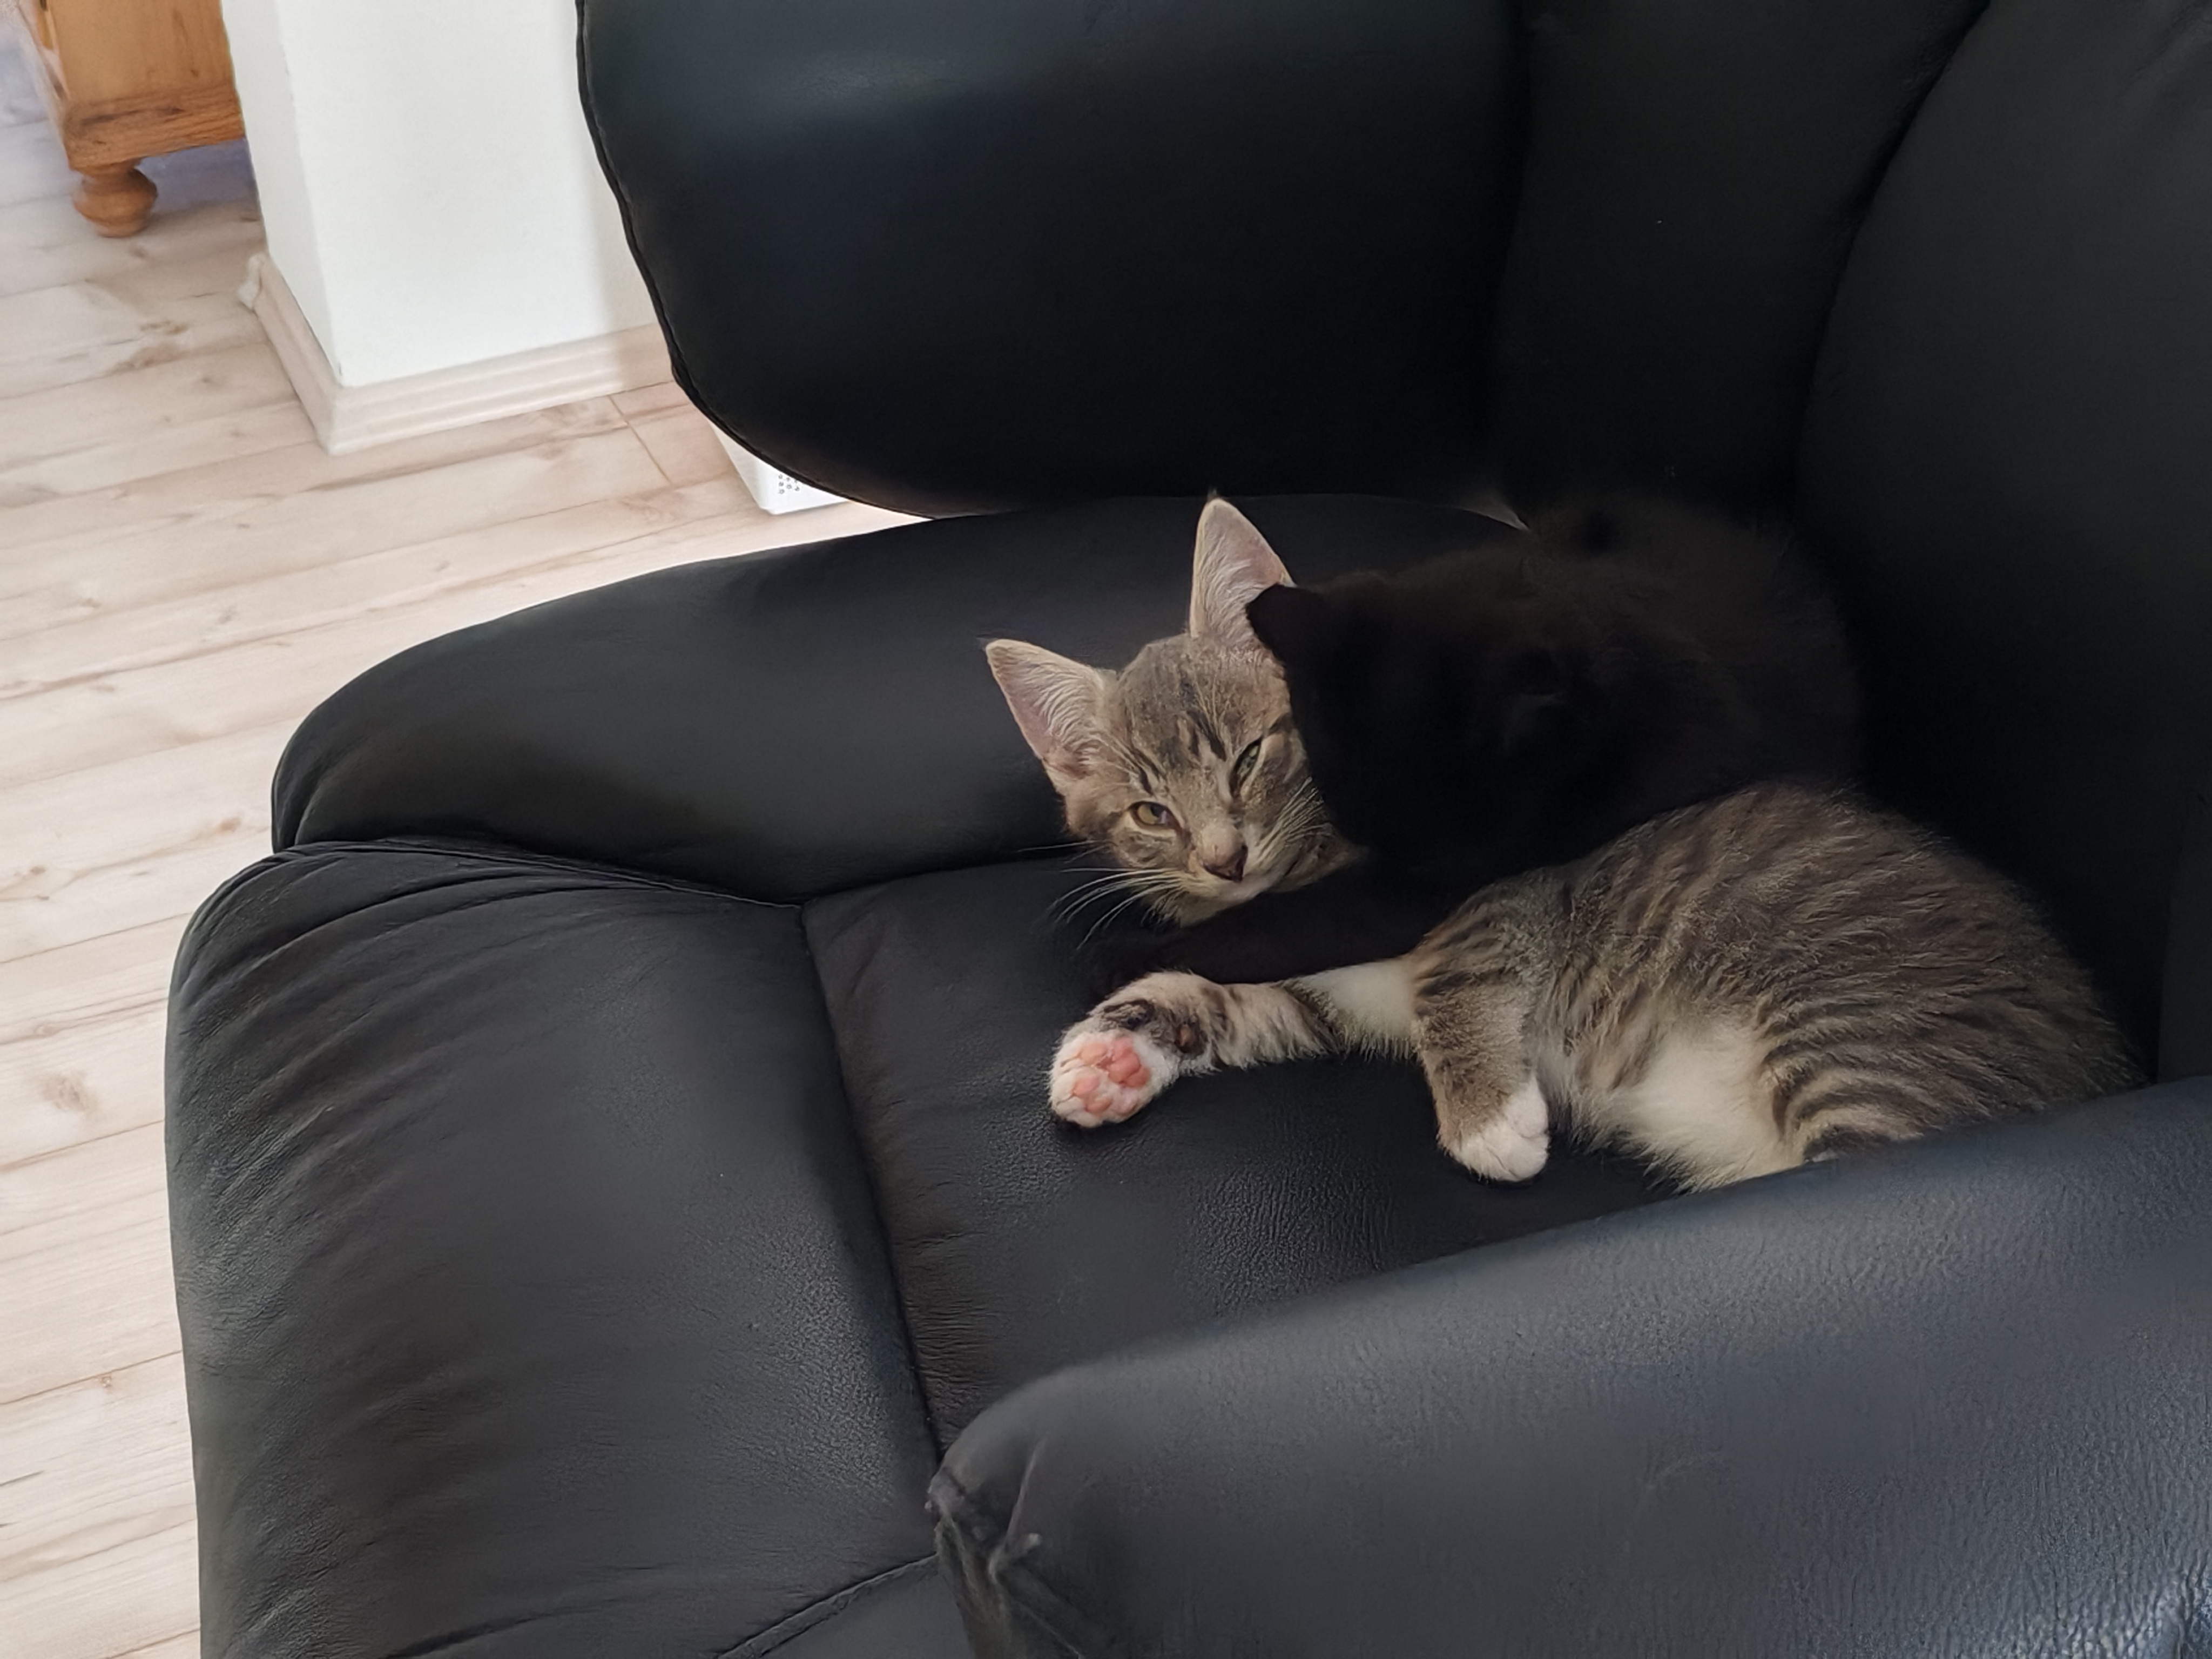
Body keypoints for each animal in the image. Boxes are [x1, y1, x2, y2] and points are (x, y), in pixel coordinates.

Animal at [1047, 781, 2141, 1190]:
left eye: (1251, 770)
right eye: (1151, 809)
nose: (1224, 858)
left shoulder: (1503, 896)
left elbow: (1458, 986)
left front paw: (1490, 1122)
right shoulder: (1314, 996)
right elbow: (1222, 1000)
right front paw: (1112, 1054)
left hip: (1860, 1049)